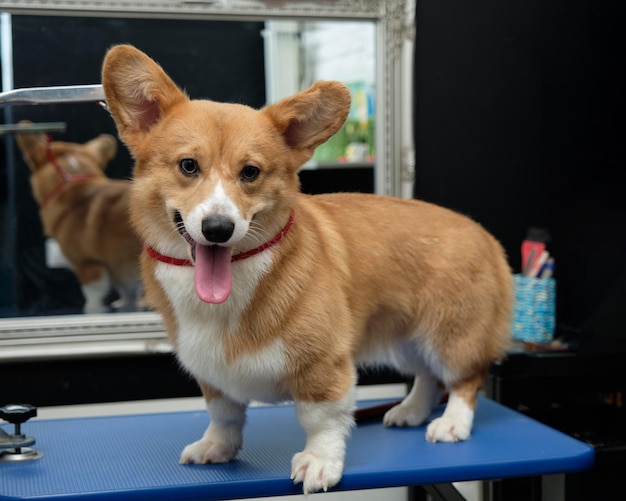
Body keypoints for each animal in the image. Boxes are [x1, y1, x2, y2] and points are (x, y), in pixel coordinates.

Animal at [14, 124, 143, 312]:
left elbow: (93, 300)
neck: (72, 184)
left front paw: (93, 312)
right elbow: (129, 298)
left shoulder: (89, 265)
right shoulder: (123, 272)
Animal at [102, 45, 512, 494]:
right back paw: (411, 410)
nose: (218, 229)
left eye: (250, 172)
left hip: (450, 336)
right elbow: (224, 414)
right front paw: (218, 447)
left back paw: (452, 422)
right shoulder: (213, 375)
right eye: (188, 166)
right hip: (407, 338)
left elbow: (321, 420)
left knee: (463, 381)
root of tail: (483, 234)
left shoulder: (324, 366)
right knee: (426, 377)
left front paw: (320, 462)